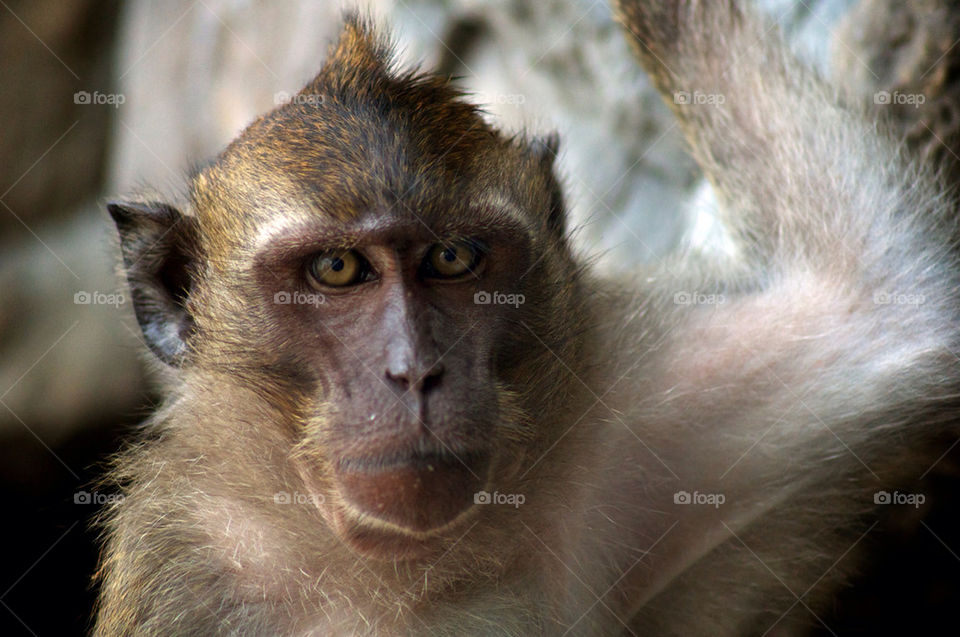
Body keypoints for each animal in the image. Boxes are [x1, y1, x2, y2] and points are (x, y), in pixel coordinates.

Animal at [94, 2, 960, 635]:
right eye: (335, 270)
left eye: (452, 258)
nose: (415, 371)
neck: (406, 571)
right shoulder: (192, 567)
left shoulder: (626, 441)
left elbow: (891, 301)